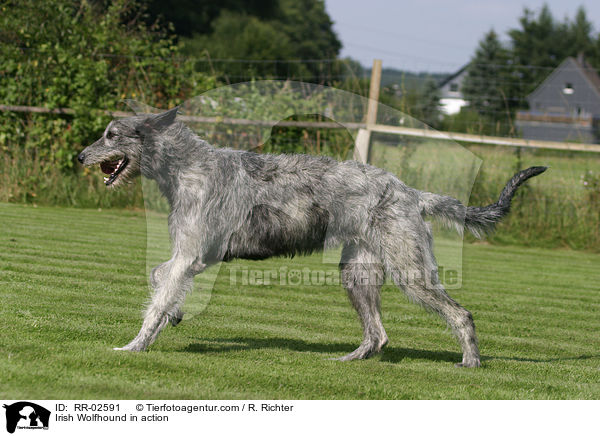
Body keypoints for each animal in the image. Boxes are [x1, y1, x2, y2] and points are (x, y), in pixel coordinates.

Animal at [77, 107, 548, 366]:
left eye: (111, 134)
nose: (80, 155)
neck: (187, 166)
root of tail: (412, 192)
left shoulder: (192, 255)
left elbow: (157, 297)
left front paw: (135, 345)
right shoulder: (191, 256)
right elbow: (160, 278)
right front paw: (174, 315)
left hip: (410, 270)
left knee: (460, 314)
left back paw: (470, 363)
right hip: (358, 273)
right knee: (378, 335)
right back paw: (351, 358)